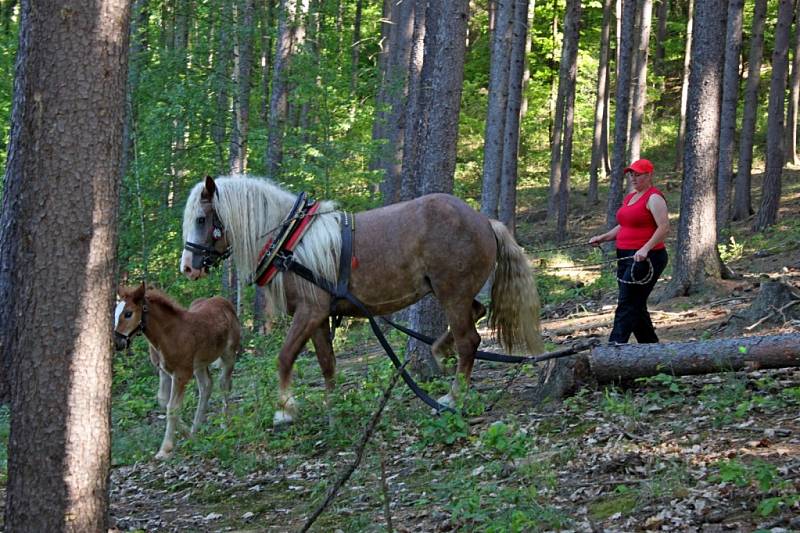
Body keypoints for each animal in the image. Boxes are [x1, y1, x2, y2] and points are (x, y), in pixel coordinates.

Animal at [114, 282, 241, 458]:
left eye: (128, 313)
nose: (116, 342)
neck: (170, 334)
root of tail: (224, 301)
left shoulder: (182, 373)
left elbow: (172, 407)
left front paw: (165, 449)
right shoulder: (164, 372)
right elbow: (163, 401)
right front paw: (188, 434)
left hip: (228, 354)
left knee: (224, 385)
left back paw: (224, 424)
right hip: (199, 364)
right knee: (206, 386)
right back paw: (196, 429)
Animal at [180, 177, 544, 426]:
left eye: (201, 219)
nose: (187, 267)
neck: (291, 243)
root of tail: (485, 221)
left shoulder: (309, 312)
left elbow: (284, 358)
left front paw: (284, 410)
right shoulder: (318, 316)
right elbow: (327, 363)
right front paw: (331, 410)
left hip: (451, 293)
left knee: (470, 340)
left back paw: (453, 396)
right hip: (455, 293)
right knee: (476, 315)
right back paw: (441, 350)